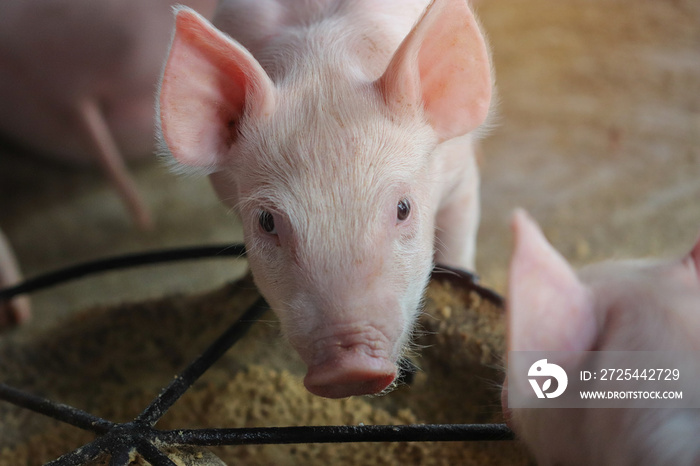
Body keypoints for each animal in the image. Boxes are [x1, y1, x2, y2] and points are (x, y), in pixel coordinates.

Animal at [157, 0, 492, 398]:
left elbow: (458, 242)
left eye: (403, 208)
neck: (323, 63)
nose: (350, 368)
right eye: (266, 221)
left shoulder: (461, 176)